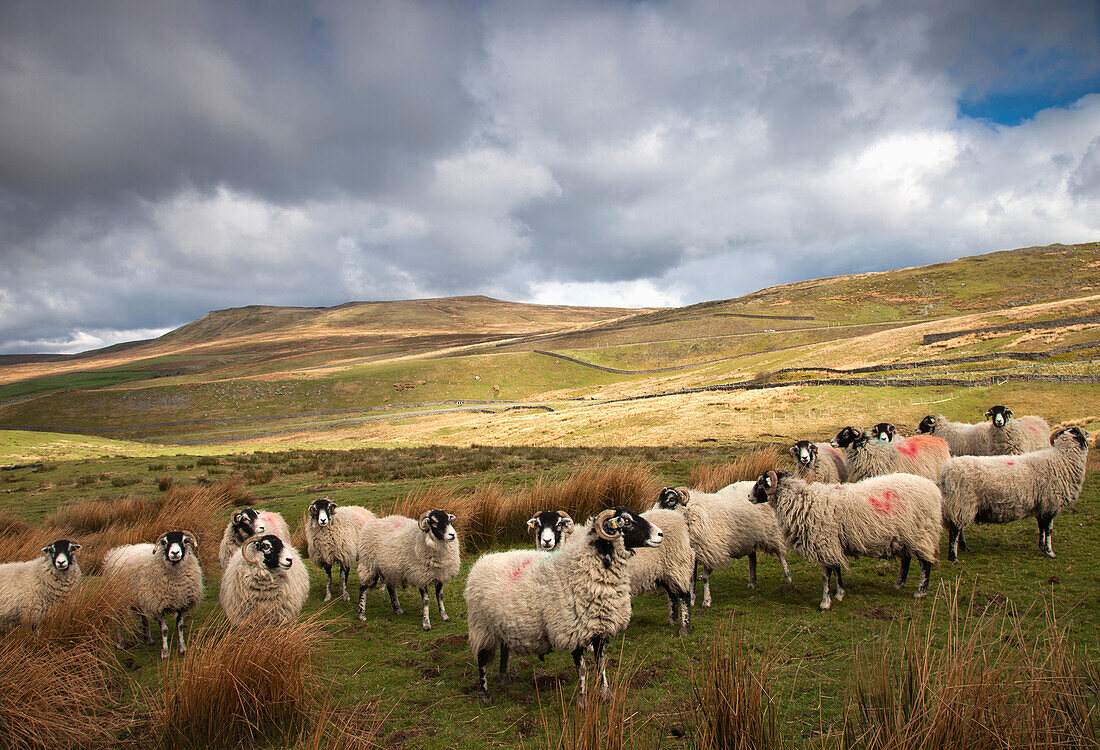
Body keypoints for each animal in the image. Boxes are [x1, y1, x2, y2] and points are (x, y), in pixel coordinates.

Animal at [104, 527, 206, 655]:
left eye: (184, 541)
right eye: (165, 542)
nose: (175, 553)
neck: (175, 581)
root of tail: (116, 551)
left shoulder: (180, 601)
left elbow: (180, 626)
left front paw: (182, 648)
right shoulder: (158, 604)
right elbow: (164, 629)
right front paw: (165, 652)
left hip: (142, 599)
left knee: (144, 618)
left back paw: (148, 639)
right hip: (118, 599)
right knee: (119, 621)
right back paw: (120, 643)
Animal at [464, 505, 660, 703]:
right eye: (625, 521)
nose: (660, 534)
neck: (586, 568)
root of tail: (482, 561)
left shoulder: (598, 628)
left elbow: (601, 664)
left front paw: (606, 694)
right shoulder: (573, 631)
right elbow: (583, 670)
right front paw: (582, 701)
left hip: (502, 623)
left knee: (504, 648)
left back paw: (505, 677)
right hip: (481, 627)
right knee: (481, 660)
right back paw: (485, 694)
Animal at [651, 479, 792, 607]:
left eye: (671, 500)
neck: (692, 512)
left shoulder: (709, 550)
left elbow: (705, 578)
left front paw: (706, 601)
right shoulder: (694, 552)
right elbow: (692, 578)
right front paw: (691, 600)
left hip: (771, 531)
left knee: (780, 554)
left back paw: (788, 577)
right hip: (749, 537)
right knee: (752, 557)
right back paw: (751, 582)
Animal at [752, 470, 941, 611]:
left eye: (761, 483)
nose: (749, 497)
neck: (803, 503)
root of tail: (932, 488)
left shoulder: (824, 542)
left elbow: (826, 575)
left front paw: (825, 603)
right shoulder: (832, 544)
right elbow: (837, 569)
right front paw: (840, 593)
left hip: (921, 533)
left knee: (925, 563)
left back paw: (921, 592)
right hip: (904, 536)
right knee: (906, 559)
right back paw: (899, 584)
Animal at [937, 424, 1091, 558]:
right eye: (1079, 431)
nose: (1088, 433)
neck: (1063, 459)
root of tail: (947, 470)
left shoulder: (1042, 506)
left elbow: (1041, 527)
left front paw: (1041, 546)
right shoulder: (1051, 503)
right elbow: (1048, 530)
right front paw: (1049, 552)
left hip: (961, 505)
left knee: (959, 528)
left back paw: (964, 547)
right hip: (962, 502)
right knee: (955, 530)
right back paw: (953, 556)